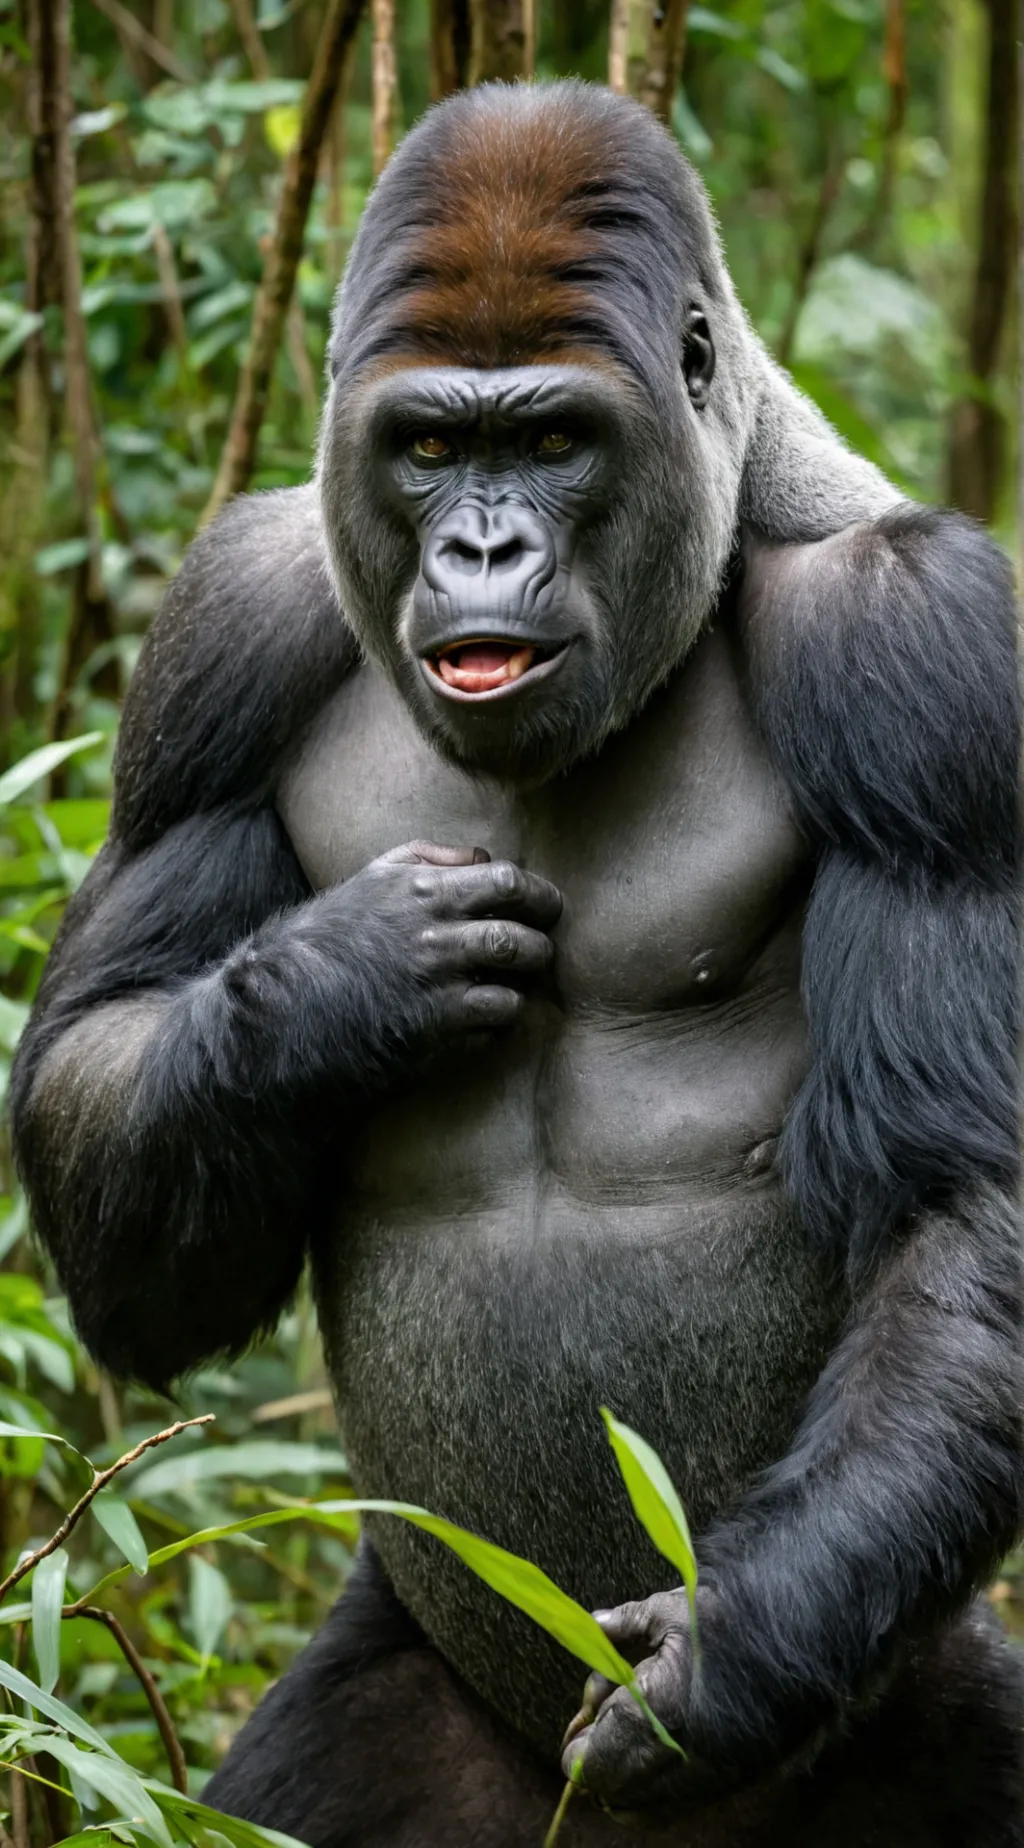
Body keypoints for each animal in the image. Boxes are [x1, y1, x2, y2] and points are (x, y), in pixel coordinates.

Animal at [11, 80, 1022, 1847]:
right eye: (429, 448)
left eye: (554, 442)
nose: (481, 554)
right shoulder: (222, 634)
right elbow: (98, 1109)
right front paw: (327, 992)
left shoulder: (933, 656)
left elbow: (964, 1194)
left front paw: (722, 1667)